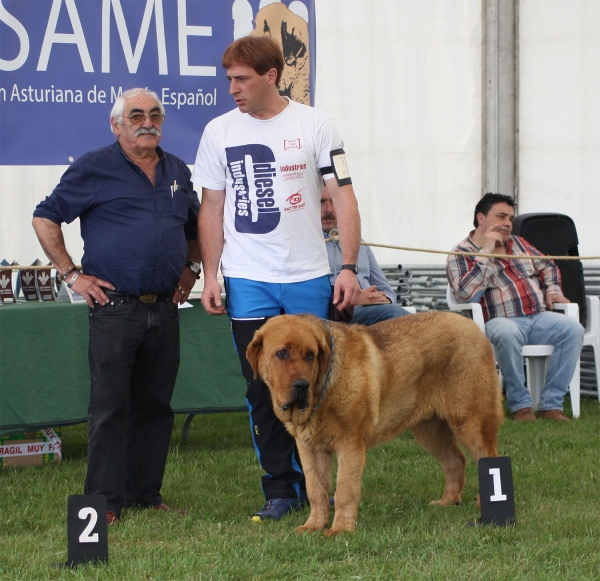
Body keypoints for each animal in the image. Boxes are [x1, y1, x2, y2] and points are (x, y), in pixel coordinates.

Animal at [246, 312, 504, 536]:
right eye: (281, 353)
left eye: (310, 355)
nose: (301, 385)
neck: (324, 388)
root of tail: (472, 326)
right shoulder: (310, 448)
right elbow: (315, 490)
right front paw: (313, 526)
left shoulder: (350, 445)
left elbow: (344, 490)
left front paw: (340, 530)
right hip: (429, 430)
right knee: (455, 460)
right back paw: (447, 501)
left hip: (470, 422)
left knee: (488, 458)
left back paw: (486, 504)